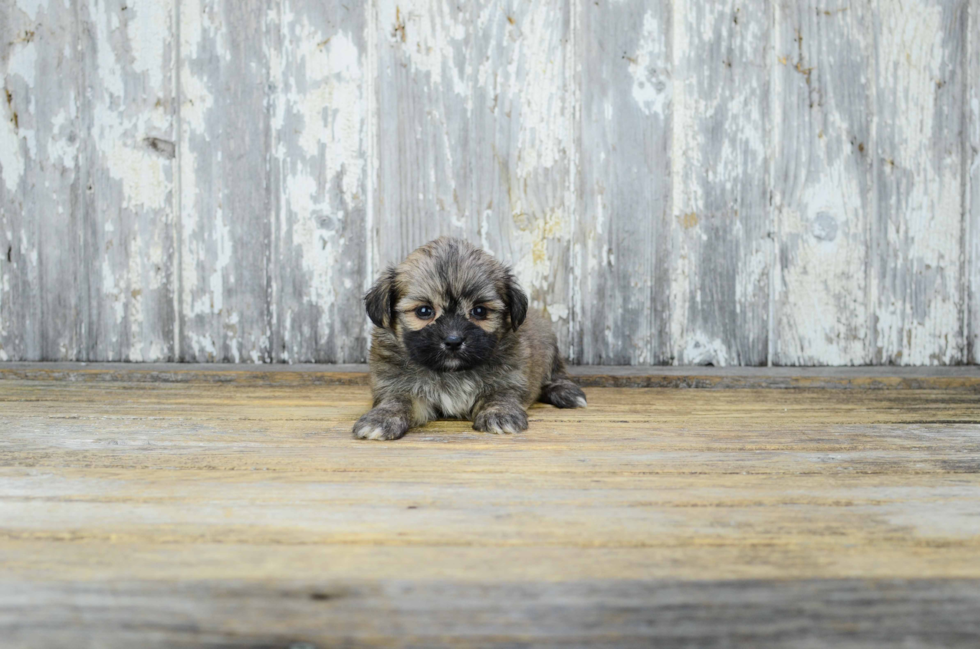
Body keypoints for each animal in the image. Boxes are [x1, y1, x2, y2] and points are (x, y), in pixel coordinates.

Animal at [356, 234, 584, 440]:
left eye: (479, 311)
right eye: (424, 311)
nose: (453, 341)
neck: (453, 373)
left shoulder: (509, 379)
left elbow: (501, 395)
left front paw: (500, 414)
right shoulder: (397, 385)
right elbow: (397, 400)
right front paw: (382, 418)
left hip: (550, 346)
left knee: (557, 374)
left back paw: (565, 392)